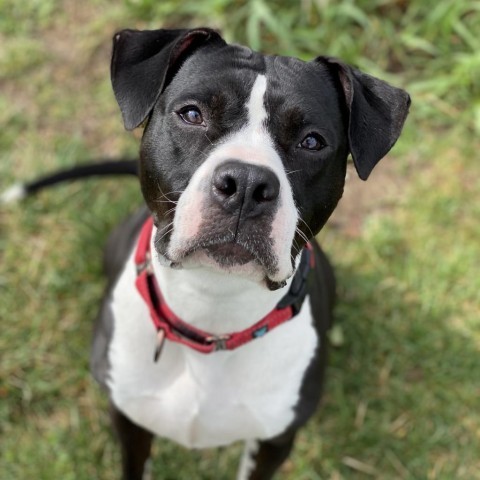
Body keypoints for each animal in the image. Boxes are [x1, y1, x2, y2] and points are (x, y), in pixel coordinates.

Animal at [1, 27, 410, 480]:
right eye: (192, 114)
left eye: (312, 141)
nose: (247, 183)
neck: (212, 307)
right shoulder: (129, 419)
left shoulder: (274, 441)